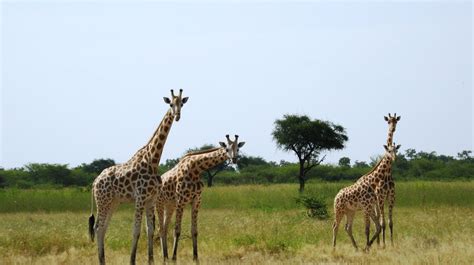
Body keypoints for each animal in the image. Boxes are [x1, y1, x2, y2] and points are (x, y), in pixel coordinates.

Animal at [88, 89, 188, 264]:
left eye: (181, 104)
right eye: (170, 104)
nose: (177, 116)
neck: (153, 160)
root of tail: (95, 181)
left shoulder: (151, 199)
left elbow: (150, 230)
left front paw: (151, 260)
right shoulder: (140, 198)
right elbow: (136, 230)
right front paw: (132, 260)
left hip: (113, 202)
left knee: (103, 228)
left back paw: (103, 260)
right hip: (103, 201)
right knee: (98, 227)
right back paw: (101, 260)